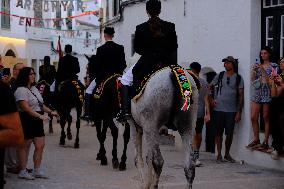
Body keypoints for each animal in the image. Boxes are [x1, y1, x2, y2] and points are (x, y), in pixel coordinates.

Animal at [121, 54, 199, 188]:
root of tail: (173, 72)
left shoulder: (136, 126)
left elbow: (140, 159)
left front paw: (145, 184)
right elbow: (148, 157)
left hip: (150, 125)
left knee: (158, 161)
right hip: (187, 127)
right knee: (189, 166)